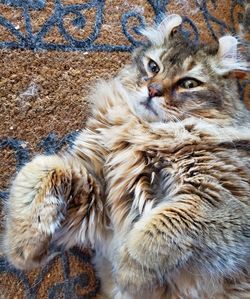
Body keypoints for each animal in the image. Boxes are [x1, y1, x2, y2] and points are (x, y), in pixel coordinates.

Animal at [1, 12, 250, 298]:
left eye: (189, 83)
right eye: (153, 67)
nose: (153, 90)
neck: (143, 132)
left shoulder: (218, 199)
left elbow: (158, 230)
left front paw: (129, 274)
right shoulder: (95, 186)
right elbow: (40, 169)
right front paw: (22, 246)